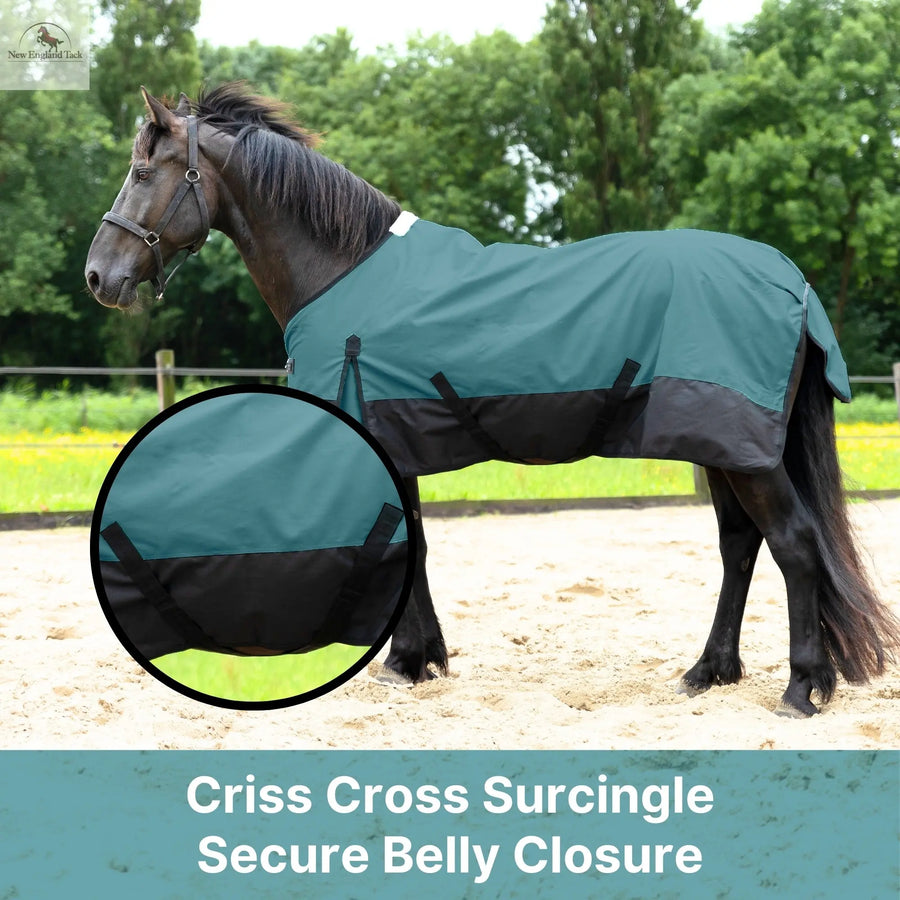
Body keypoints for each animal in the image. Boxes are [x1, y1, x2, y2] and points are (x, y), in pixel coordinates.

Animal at [85, 83, 899, 717]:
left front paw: (404, 662)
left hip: (745, 450)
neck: (343, 269)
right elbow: (411, 539)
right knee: (740, 547)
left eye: (141, 170)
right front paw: (421, 660)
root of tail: (790, 281)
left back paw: (802, 690)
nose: (99, 276)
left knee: (793, 545)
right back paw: (708, 673)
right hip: (723, 445)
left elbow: (401, 542)